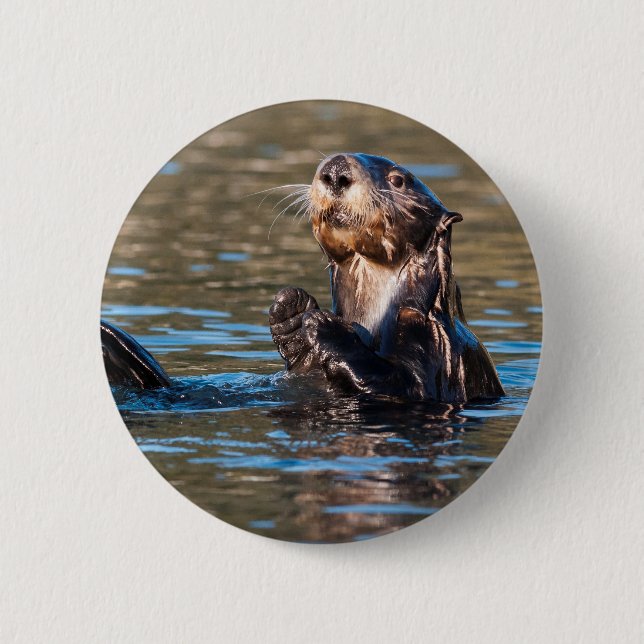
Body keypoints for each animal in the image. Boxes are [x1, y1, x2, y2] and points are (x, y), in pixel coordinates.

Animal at [102, 152, 504, 403]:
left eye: (399, 179)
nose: (336, 170)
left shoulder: (432, 340)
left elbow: (404, 386)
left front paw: (323, 326)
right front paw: (291, 311)